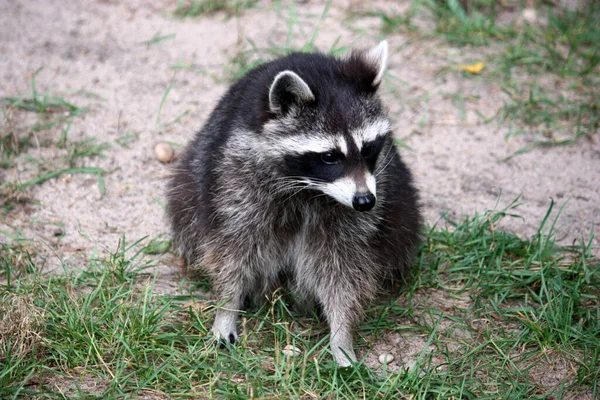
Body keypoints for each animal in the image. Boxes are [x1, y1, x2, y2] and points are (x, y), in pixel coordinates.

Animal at [168, 40, 422, 366]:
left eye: (368, 149)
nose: (365, 201)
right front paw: (227, 307)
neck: (310, 187)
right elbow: (232, 249)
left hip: (400, 207)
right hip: (192, 183)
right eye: (330, 156)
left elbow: (344, 266)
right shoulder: (235, 179)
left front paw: (342, 332)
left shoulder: (365, 204)